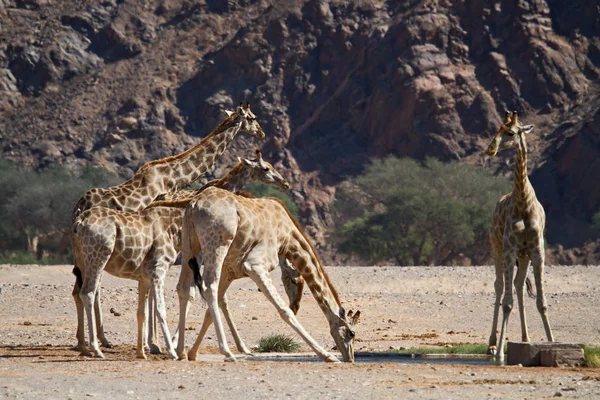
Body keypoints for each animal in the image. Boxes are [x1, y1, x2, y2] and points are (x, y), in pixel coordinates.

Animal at [71, 103, 264, 354]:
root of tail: (78, 209)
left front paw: (152, 343)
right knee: (91, 288)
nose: (262, 133)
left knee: (81, 288)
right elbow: (155, 293)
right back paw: (98, 341)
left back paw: (85, 342)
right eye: (252, 117)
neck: (171, 176)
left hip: (83, 251)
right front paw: (154, 343)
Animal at [173, 188, 360, 362]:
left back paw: (179, 351)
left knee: (184, 288)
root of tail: (194, 204)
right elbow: (284, 310)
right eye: (352, 333)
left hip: (189, 244)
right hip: (217, 244)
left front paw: (192, 353)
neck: (287, 238)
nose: (350, 358)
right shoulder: (254, 264)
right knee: (209, 287)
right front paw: (328, 356)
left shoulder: (230, 270)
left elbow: (211, 310)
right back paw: (227, 352)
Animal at [486, 111, 556, 358]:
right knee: (499, 286)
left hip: (523, 256)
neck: (524, 204)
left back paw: (525, 338)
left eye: (511, 132)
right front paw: (500, 352)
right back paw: (492, 343)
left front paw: (552, 341)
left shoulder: (537, 249)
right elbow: (507, 303)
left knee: (517, 285)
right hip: (496, 248)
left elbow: (542, 302)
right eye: (496, 130)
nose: (490, 149)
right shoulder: (509, 248)